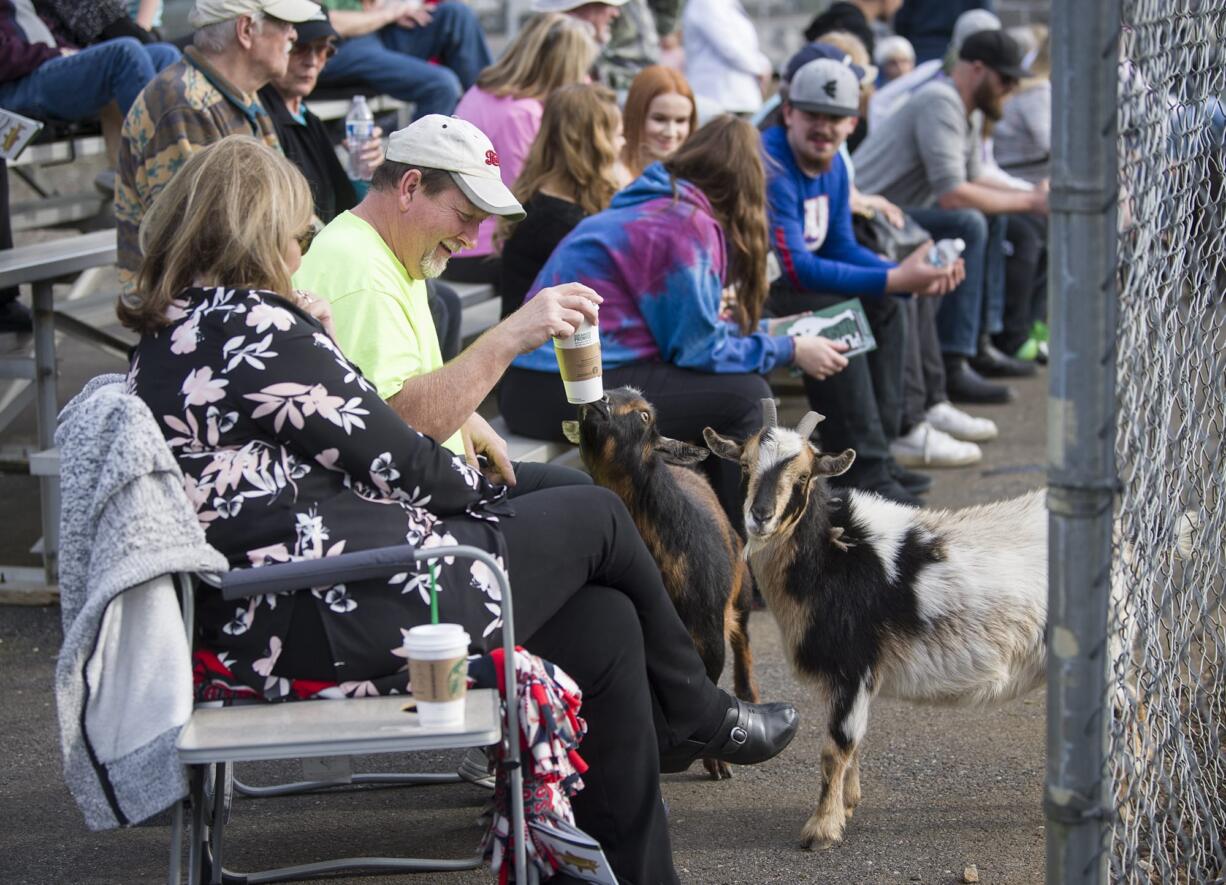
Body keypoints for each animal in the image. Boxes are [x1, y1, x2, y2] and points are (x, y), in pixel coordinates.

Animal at [563, 384, 755, 774]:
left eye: (644, 415)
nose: (598, 401)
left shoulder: (707, 634)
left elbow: (708, 681)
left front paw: (715, 761)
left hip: (740, 589)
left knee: (742, 634)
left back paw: (748, 692)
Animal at [711, 402, 1044, 848]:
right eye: (744, 467)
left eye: (803, 477)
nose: (760, 517)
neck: (833, 556)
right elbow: (852, 746)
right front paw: (849, 803)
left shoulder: (854, 665)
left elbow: (835, 748)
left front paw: (821, 830)